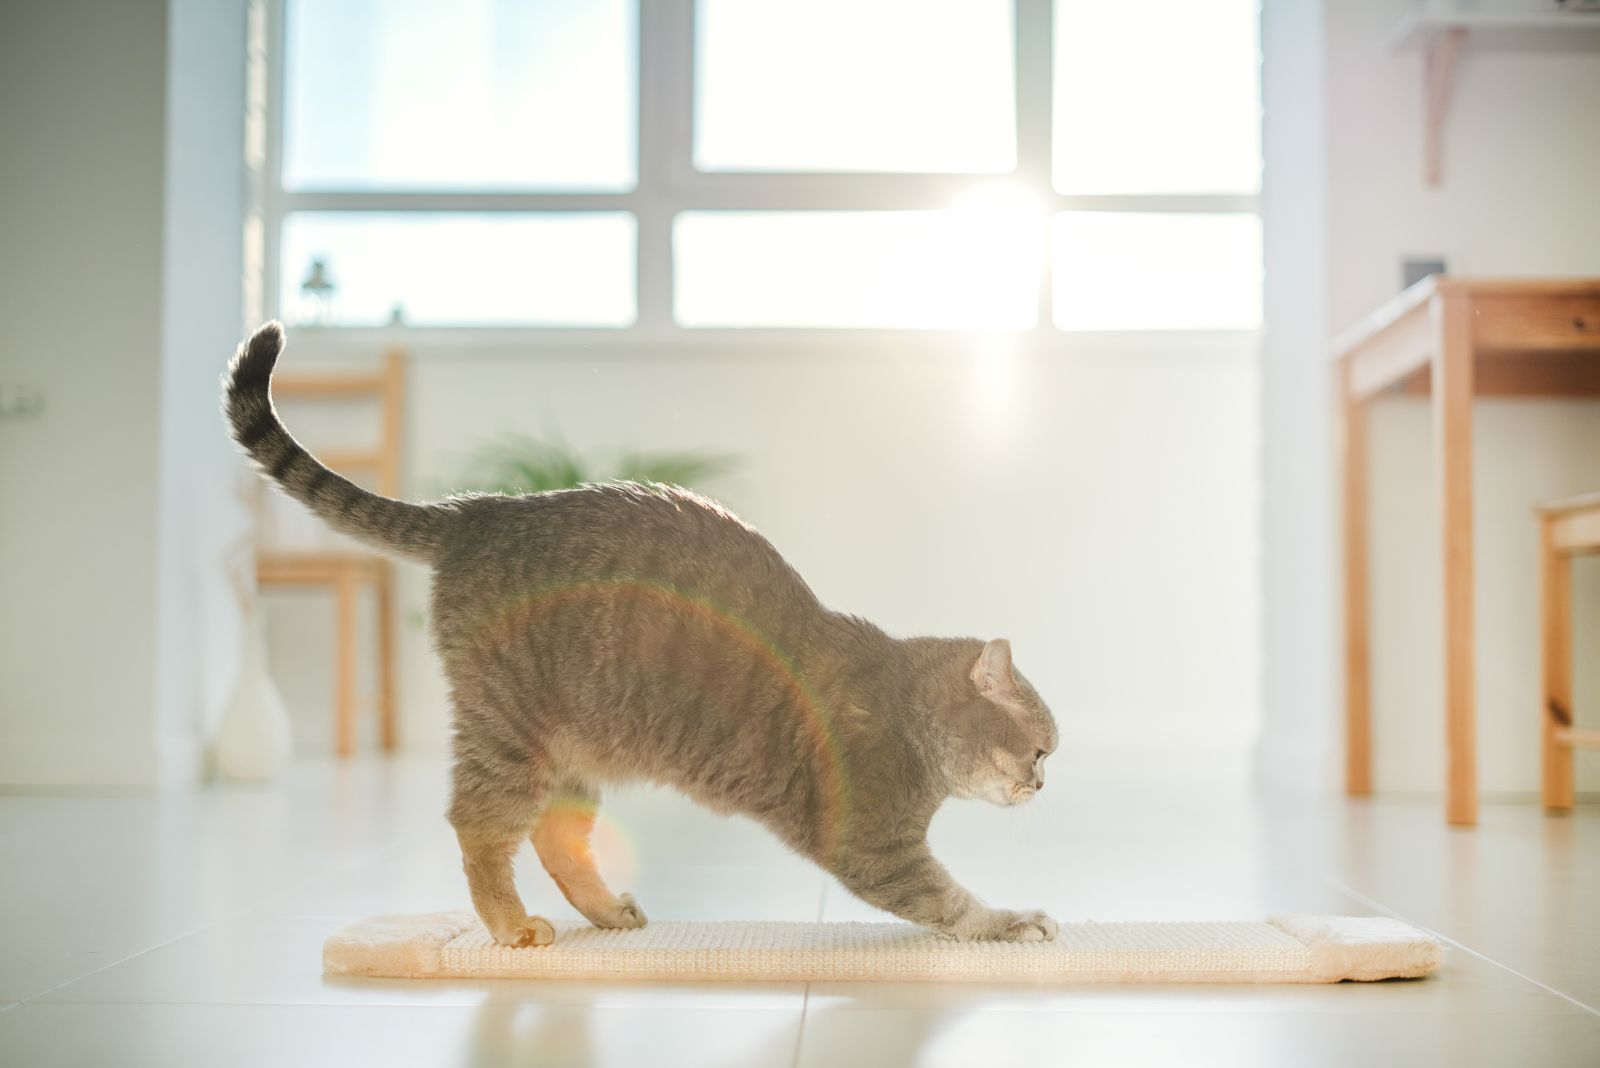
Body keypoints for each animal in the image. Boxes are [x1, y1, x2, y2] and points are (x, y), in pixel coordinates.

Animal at [219, 321, 1056, 946]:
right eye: (1042, 750)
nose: (1043, 785)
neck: (905, 712)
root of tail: (480, 510)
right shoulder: (874, 842)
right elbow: (948, 901)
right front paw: (1011, 922)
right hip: (510, 730)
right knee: (480, 827)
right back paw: (511, 925)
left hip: (571, 745)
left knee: (557, 836)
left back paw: (604, 911)